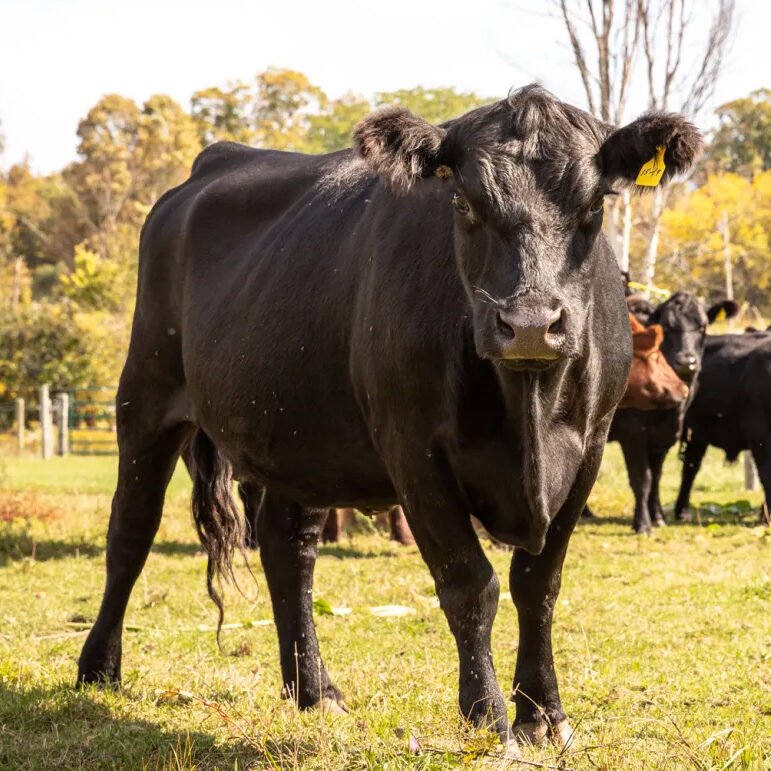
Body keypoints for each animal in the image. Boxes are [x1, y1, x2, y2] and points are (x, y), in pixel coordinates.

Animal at [76, 85, 700, 750]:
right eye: (464, 202)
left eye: (594, 205)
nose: (530, 322)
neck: (529, 410)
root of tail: (212, 164)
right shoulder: (415, 451)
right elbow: (470, 584)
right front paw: (488, 718)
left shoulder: (589, 448)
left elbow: (538, 585)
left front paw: (543, 716)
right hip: (145, 393)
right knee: (130, 530)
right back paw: (98, 669)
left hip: (300, 432)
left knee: (287, 549)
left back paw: (314, 691)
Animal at [604, 293, 738, 532]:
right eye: (667, 326)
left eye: (703, 326)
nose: (686, 362)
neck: (667, 414)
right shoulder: (633, 435)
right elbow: (641, 478)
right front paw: (643, 523)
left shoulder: (662, 440)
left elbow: (656, 477)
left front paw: (658, 517)